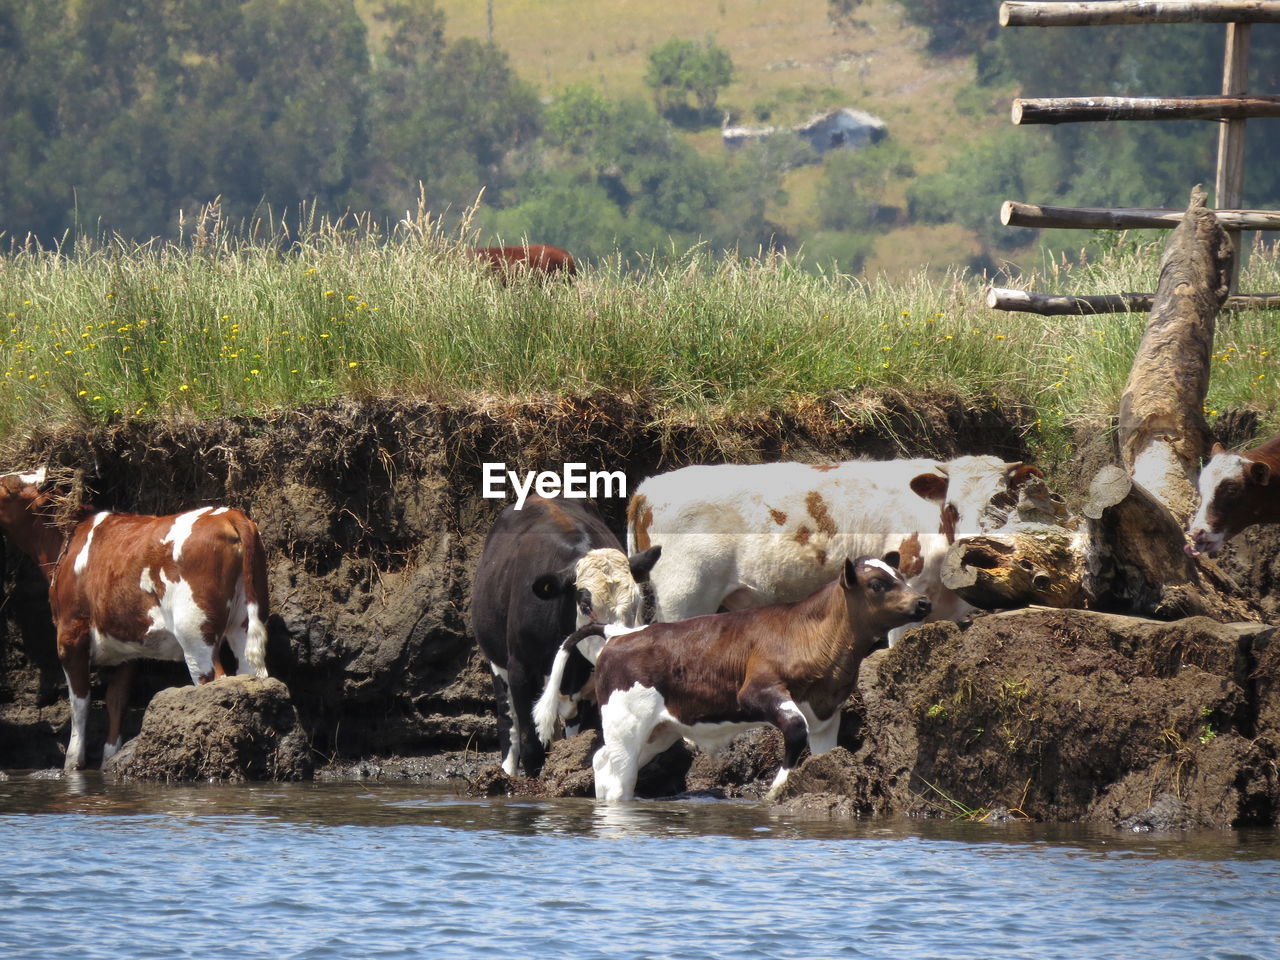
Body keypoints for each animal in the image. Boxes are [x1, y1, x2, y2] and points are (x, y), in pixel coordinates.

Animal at [0, 471, 270, 773]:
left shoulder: (70, 634)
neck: (64, 541)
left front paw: (73, 763)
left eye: (6, 487)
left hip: (195, 632)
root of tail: (228, 514)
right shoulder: (127, 646)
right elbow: (116, 698)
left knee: (214, 679)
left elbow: (80, 702)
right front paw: (109, 757)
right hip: (243, 622)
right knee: (250, 672)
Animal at [476, 496, 665, 783]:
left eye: (636, 603)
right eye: (586, 606)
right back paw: (505, 773)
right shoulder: (521, 669)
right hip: (498, 662)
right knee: (508, 722)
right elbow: (530, 743)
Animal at [565, 555, 926, 803]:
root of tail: (619, 634)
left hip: (659, 731)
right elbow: (795, 729)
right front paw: (777, 788)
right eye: (877, 584)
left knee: (603, 762)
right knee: (617, 773)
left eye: (901, 576)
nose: (923, 601)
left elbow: (822, 750)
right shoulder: (757, 690)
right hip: (626, 725)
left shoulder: (826, 712)